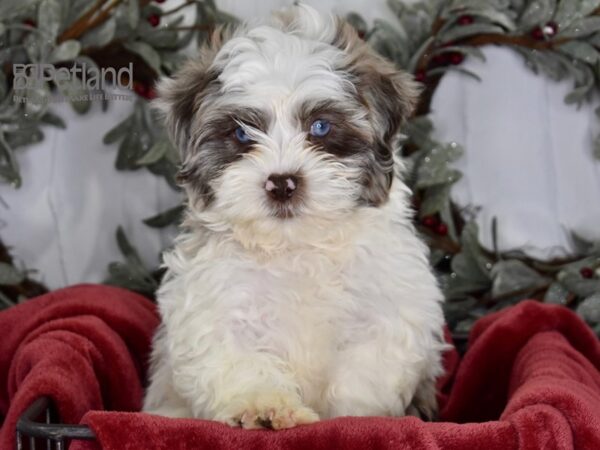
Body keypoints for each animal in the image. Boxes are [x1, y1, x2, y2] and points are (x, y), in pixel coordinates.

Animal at [144, 4, 446, 432]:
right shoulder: (215, 307)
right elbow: (240, 361)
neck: (296, 246)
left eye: (320, 126)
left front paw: (356, 420)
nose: (282, 182)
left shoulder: (385, 314)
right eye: (241, 134)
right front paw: (264, 409)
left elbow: (364, 376)